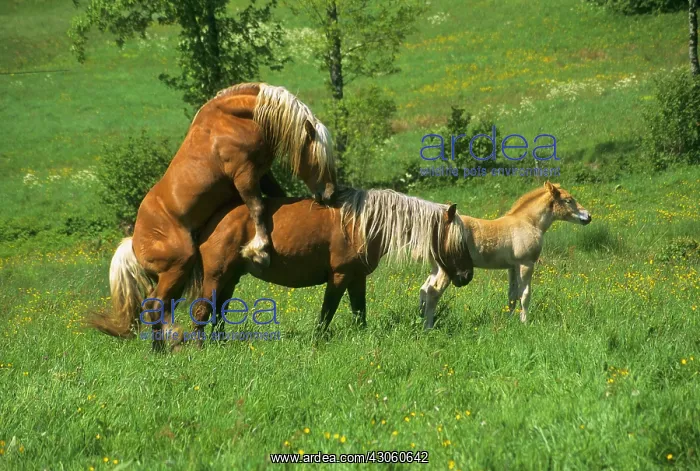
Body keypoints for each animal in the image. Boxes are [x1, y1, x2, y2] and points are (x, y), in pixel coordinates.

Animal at [90, 83, 336, 351]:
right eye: (317, 157)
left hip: (177, 276)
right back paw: (164, 348)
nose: (330, 194)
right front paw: (260, 250)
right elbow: (258, 207)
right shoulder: (244, 175)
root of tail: (134, 244)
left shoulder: (263, 174)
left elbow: (275, 197)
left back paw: (167, 347)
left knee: (161, 307)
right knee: (156, 306)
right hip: (178, 266)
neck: (235, 119)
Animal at [181, 188, 475, 347]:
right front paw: (319, 340)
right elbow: (327, 312)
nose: (467, 276)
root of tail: (212, 220)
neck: (362, 223)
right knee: (202, 310)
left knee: (220, 311)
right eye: (460, 241)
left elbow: (359, 312)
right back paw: (200, 347)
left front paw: (360, 337)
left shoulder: (357, 278)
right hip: (217, 276)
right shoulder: (340, 276)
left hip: (231, 278)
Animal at [419, 181, 591, 324]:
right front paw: (524, 323)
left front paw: (509, 321)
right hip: (447, 269)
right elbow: (525, 294)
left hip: (437, 267)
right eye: (568, 200)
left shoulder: (513, 267)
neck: (529, 222)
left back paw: (420, 319)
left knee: (424, 289)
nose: (588, 216)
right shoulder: (526, 264)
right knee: (433, 291)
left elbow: (512, 295)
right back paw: (428, 325)